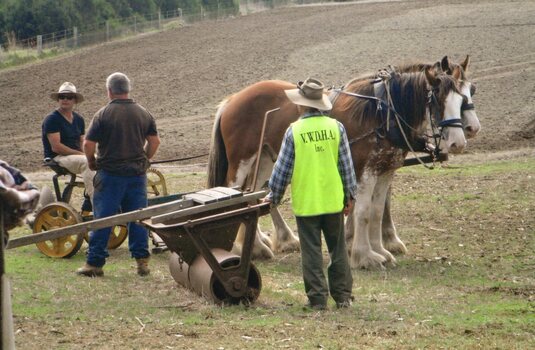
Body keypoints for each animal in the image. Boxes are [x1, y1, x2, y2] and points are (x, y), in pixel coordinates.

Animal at [209, 58, 474, 266]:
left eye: (467, 94)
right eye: (437, 99)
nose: (459, 141)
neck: (383, 111)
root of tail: (232, 99)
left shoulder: (384, 170)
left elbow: (377, 211)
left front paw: (380, 249)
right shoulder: (365, 170)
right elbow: (363, 211)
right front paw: (365, 256)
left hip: (264, 160)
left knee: (255, 196)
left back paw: (259, 246)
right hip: (242, 162)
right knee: (239, 198)